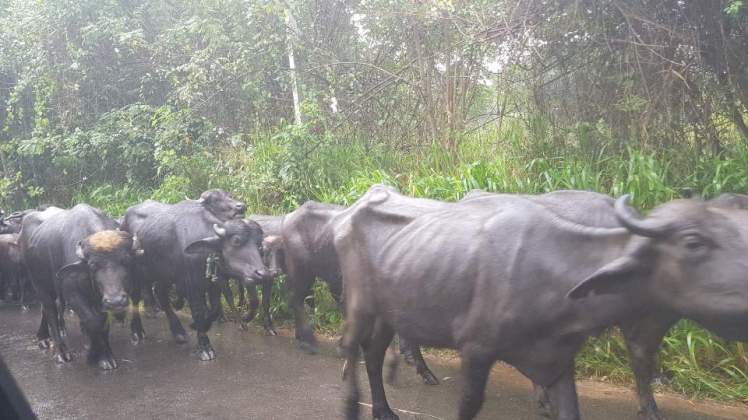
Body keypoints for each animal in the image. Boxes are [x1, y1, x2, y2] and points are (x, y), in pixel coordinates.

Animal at [336, 185, 748, 420]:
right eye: (693, 242)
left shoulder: (562, 354)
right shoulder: (477, 350)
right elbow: (641, 362)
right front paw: (649, 408)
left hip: (391, 309)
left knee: (375, 351)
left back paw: (386, 405)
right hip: (360, 305)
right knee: (352, 346)